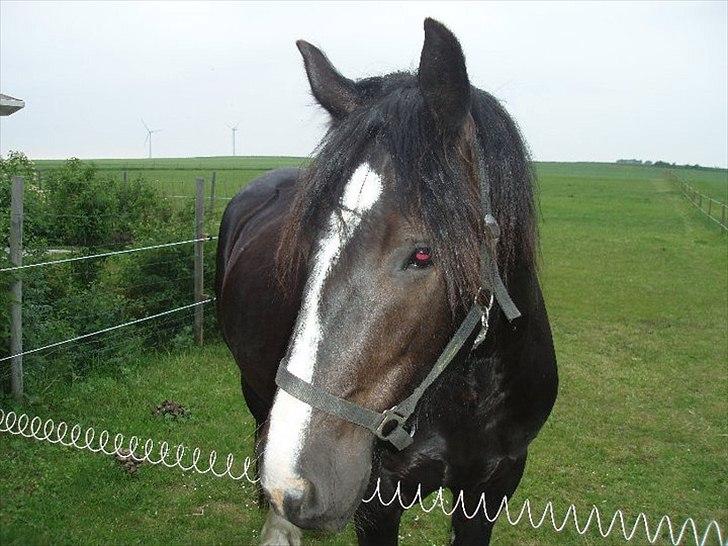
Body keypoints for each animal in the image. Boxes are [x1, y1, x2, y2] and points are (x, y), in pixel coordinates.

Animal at [216, 18, 558, 546]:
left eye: (422, 254)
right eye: (305, 241)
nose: (296, 482)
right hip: (253, 389)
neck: (466, 394)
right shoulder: (379, 503)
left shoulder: (492, 487)